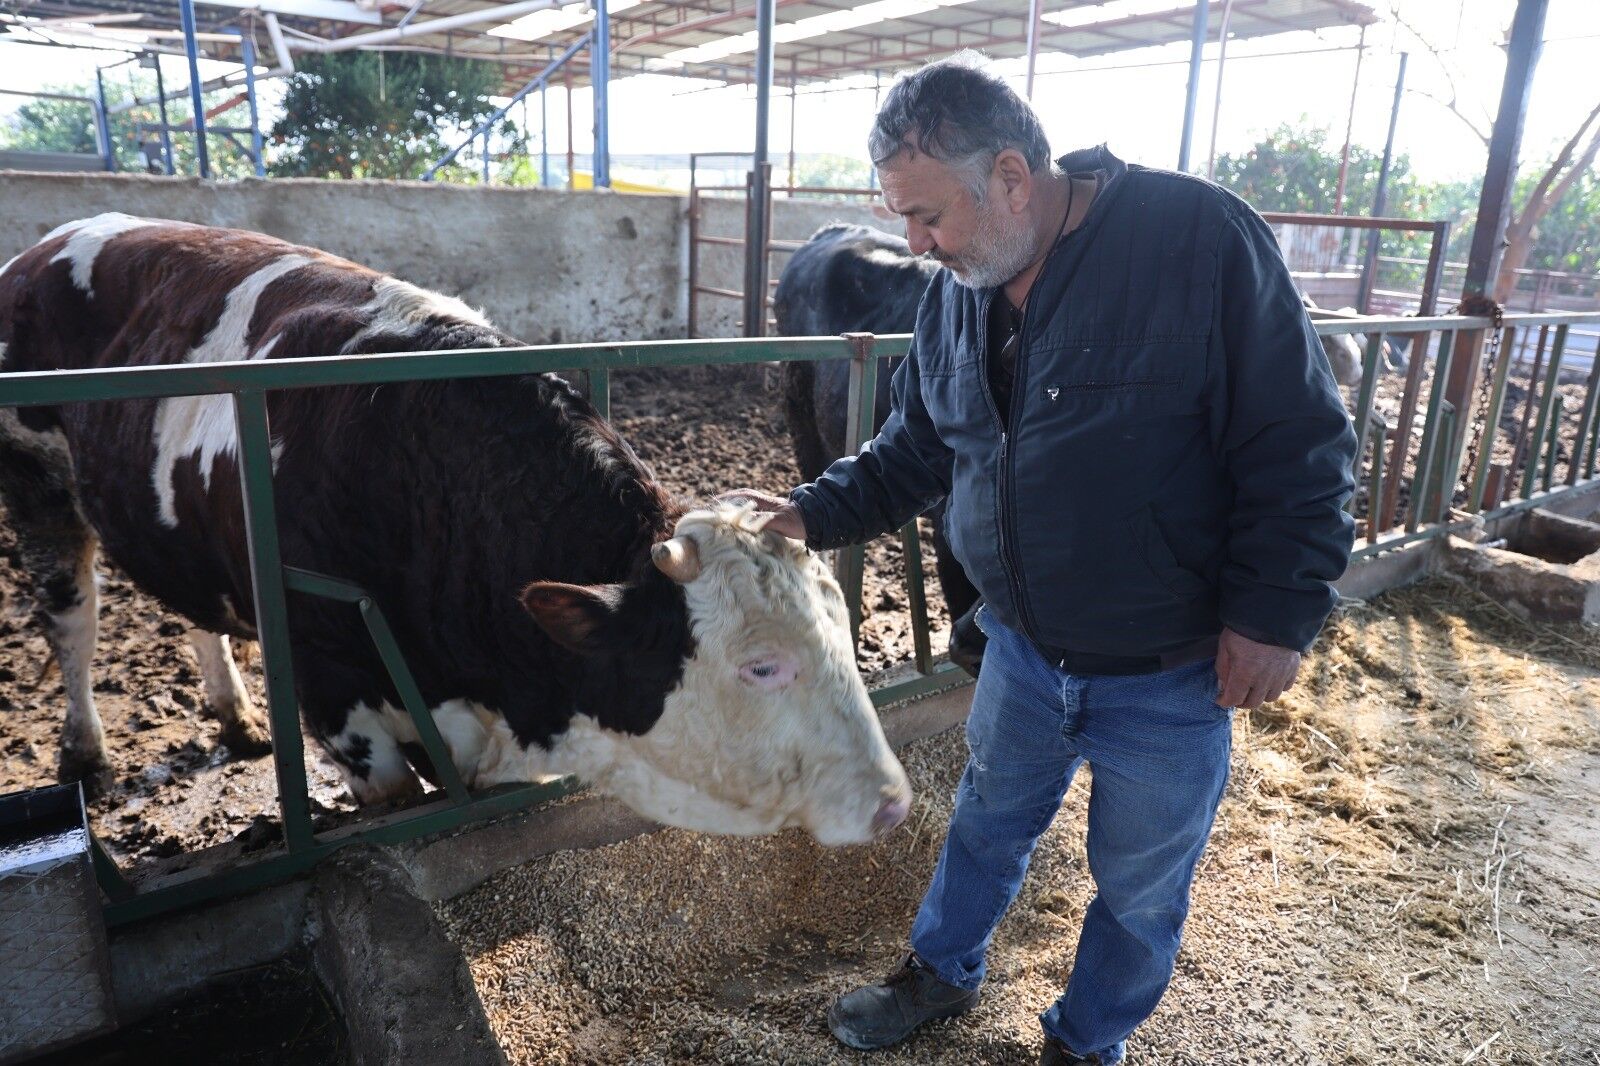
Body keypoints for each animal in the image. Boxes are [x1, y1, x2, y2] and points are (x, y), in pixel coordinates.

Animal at [0, 211, 915, 845]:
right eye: (760, 666)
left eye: (840, 625)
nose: (893, 803)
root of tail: (50, 242)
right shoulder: (337, 698)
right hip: (40, 485)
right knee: (72, 617)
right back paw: (85, 753)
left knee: (195, 612)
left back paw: (236, 718)